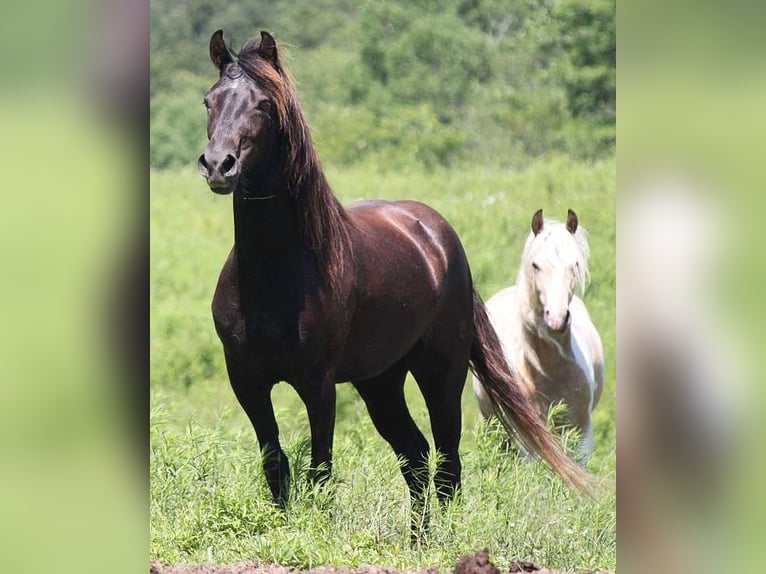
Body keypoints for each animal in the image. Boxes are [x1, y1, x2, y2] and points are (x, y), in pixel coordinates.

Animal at [197, 30, 590, 531]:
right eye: (209, 100)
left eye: (264, 104)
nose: (218, 165)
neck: (274, 272)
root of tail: (438, 235)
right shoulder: (246, 380)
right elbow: (276, 465)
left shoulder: (318, 383)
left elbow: (321, 470)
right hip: (380, 381)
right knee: (416, 455)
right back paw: (418, 537)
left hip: (441, 371)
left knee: (446, 461)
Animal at [472, 209, 604, 459]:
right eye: (535, 265)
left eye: (575, 264)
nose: (557, 318)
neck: (548, 371)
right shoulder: (529, 441)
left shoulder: (582, 434)